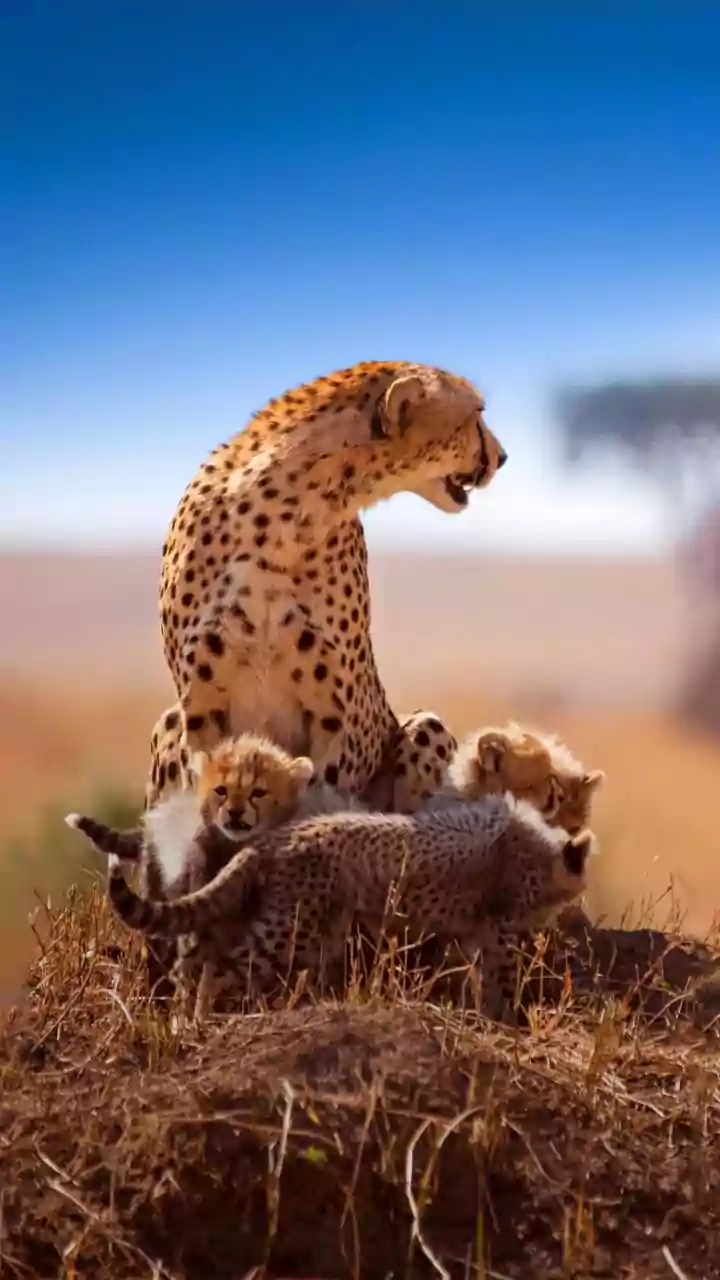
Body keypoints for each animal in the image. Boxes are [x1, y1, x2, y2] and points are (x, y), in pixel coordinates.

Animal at [105, 793, 595, 1023]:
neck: (543, 848)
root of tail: (272, 838)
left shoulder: (479, 932)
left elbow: (484, 979)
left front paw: (488, 1017)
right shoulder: (499, 930)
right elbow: (502, 980)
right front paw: (507, 1022)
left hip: (317, 927)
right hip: (289, 930)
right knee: (223, 964)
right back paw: (206, 1017)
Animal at [146, 360, 507, 823]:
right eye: (475, 414)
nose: (502, 457)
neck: (286, 512)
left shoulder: (332, 718)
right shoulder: (200, 711)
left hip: (426, 726)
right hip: (168, 722)